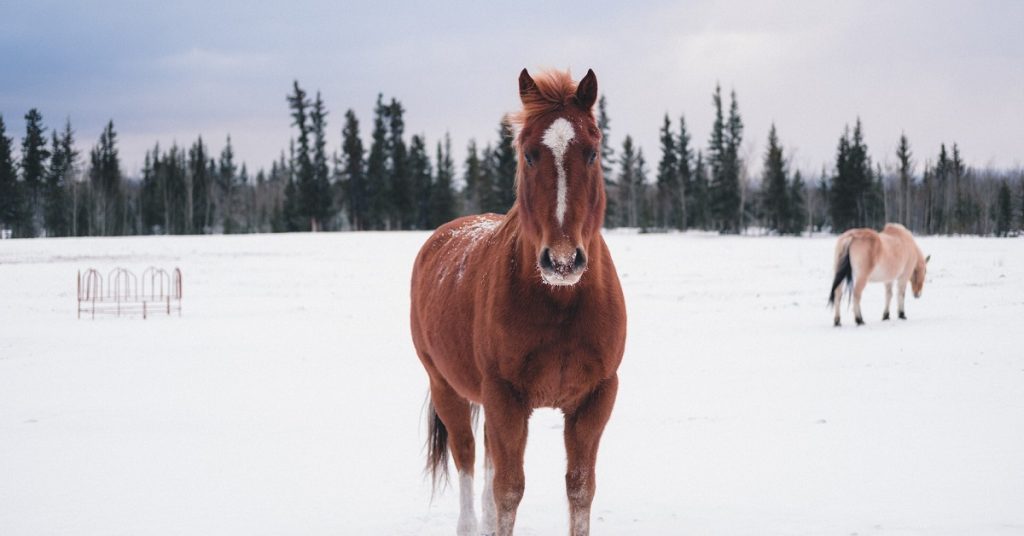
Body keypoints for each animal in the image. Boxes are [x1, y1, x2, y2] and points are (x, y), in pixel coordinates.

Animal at [407, 69, 622, 532]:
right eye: (529, 155)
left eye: (593, 152)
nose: (562, 260)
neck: (560, 304)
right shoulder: (505, 398)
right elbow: (508, 491)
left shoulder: (595, 399)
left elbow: (580, 489)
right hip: (446, 387)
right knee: (468, 458)